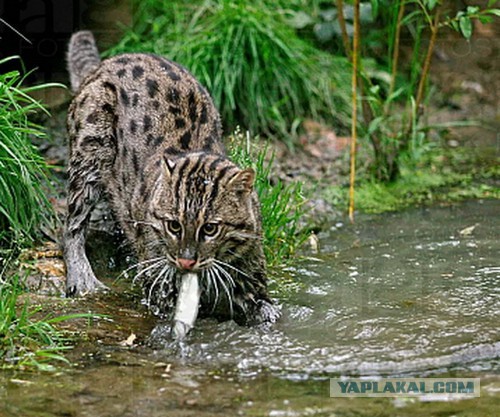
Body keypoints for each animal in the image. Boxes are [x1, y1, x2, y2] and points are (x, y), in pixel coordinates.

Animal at [63, 30, 280, 330]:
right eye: (173, 225)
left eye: (211, 228)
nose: (186, 262)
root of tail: (104, 64)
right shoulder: (158, 275)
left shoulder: (250, 267)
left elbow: (265, 307)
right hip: (91, 147)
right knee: (73, 222)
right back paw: (82, 277)